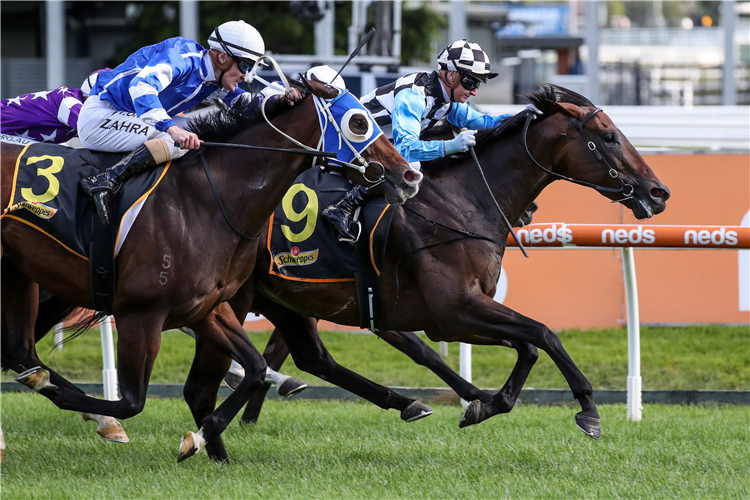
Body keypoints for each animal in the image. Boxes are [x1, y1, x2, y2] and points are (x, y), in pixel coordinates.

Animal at [0, 76, 424, 462]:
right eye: (359, 121)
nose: (410, 175)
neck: (204, 201)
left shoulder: (208, 308)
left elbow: (254, 369)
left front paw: (201, 438)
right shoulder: (141, 314)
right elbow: (131, 403)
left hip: (20, 275)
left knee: (20, 350)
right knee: (25, 356)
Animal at [181, 85, 668, 454]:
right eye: (608, 136)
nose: (658, 192)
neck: (462, 202)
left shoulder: (455, 312)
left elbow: (528, 345)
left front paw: (484, 403)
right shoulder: (452, 312)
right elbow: (543, 334)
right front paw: (587, 409)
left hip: (284, 297)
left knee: (311, 358)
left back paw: (401, 403)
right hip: (241, 298)